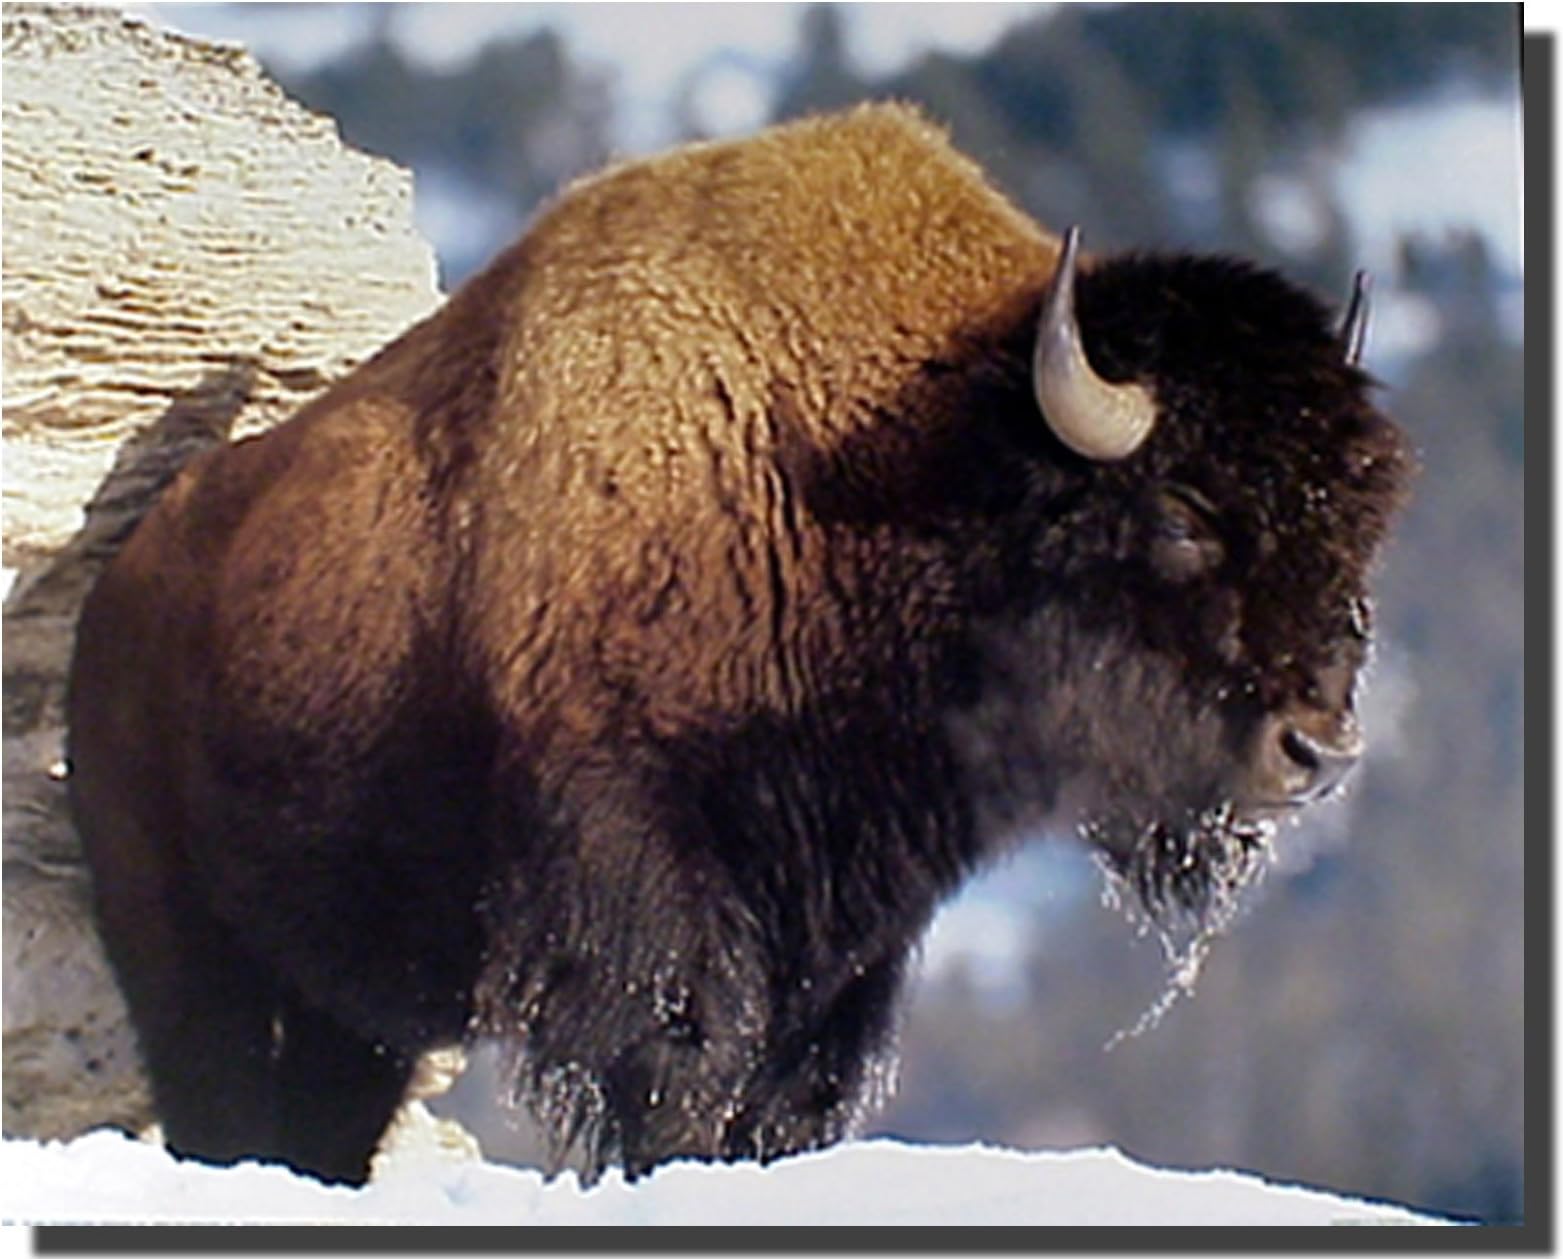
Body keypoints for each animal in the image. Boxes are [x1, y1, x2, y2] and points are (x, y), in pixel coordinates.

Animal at [66, 103, 1412, 1186]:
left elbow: (784, 1098)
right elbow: (680, 1071)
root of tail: (120, 590)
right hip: (190, 958)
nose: (1319, 747)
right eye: (1182, 513)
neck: (902, 466)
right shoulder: (646, 899)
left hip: (354, 1016)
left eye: (1363, 522)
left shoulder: (849, 947)